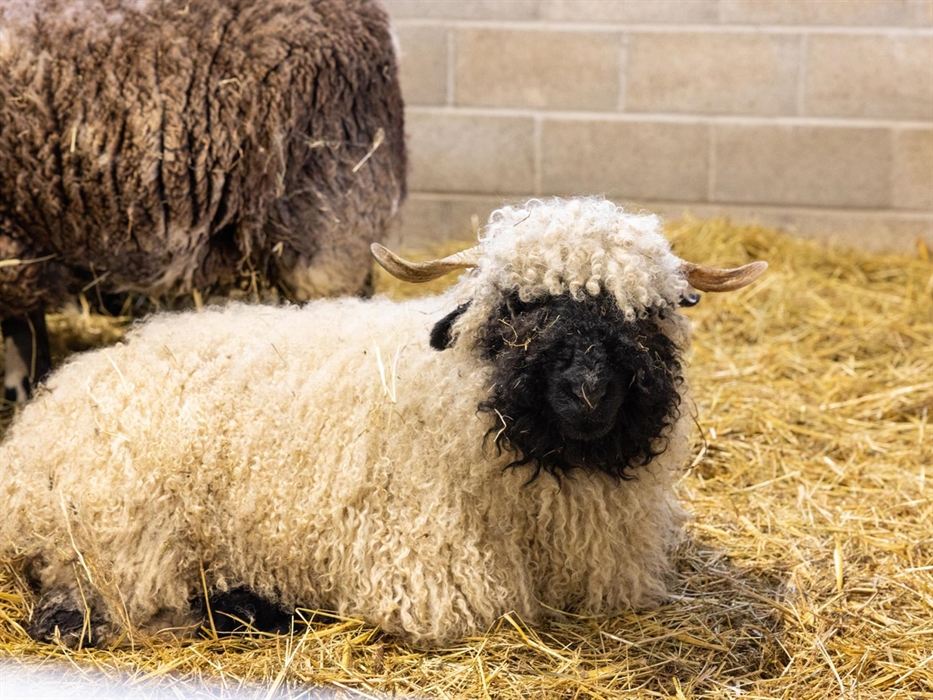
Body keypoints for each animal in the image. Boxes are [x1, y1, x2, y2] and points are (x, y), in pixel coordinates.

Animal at [0, 197, 767, 648]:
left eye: (647, 313)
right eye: (517, 306)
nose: (588, 390)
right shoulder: (428, 575)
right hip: (121, 531)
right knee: (79, 613)